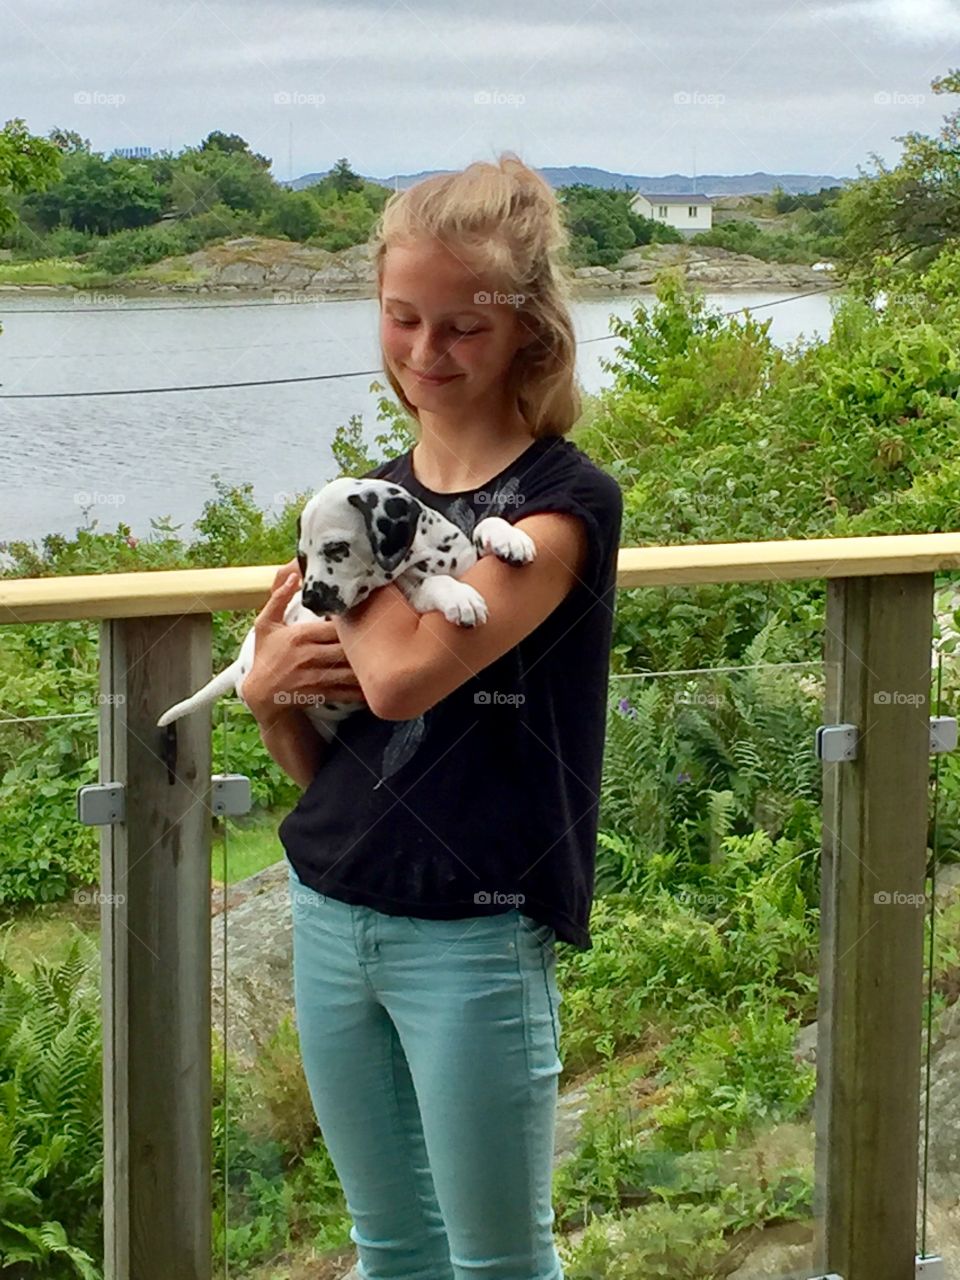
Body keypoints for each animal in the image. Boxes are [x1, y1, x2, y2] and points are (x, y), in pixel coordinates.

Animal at [154, 476, 537, 742]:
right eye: (302, 556)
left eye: (336, 548)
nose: (310, 600)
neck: (426, 556)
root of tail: (240, 664)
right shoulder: (412, 595)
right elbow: (432, 585)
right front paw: (460, 598)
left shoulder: (465, 559)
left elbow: (485, 526)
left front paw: (510, 538)